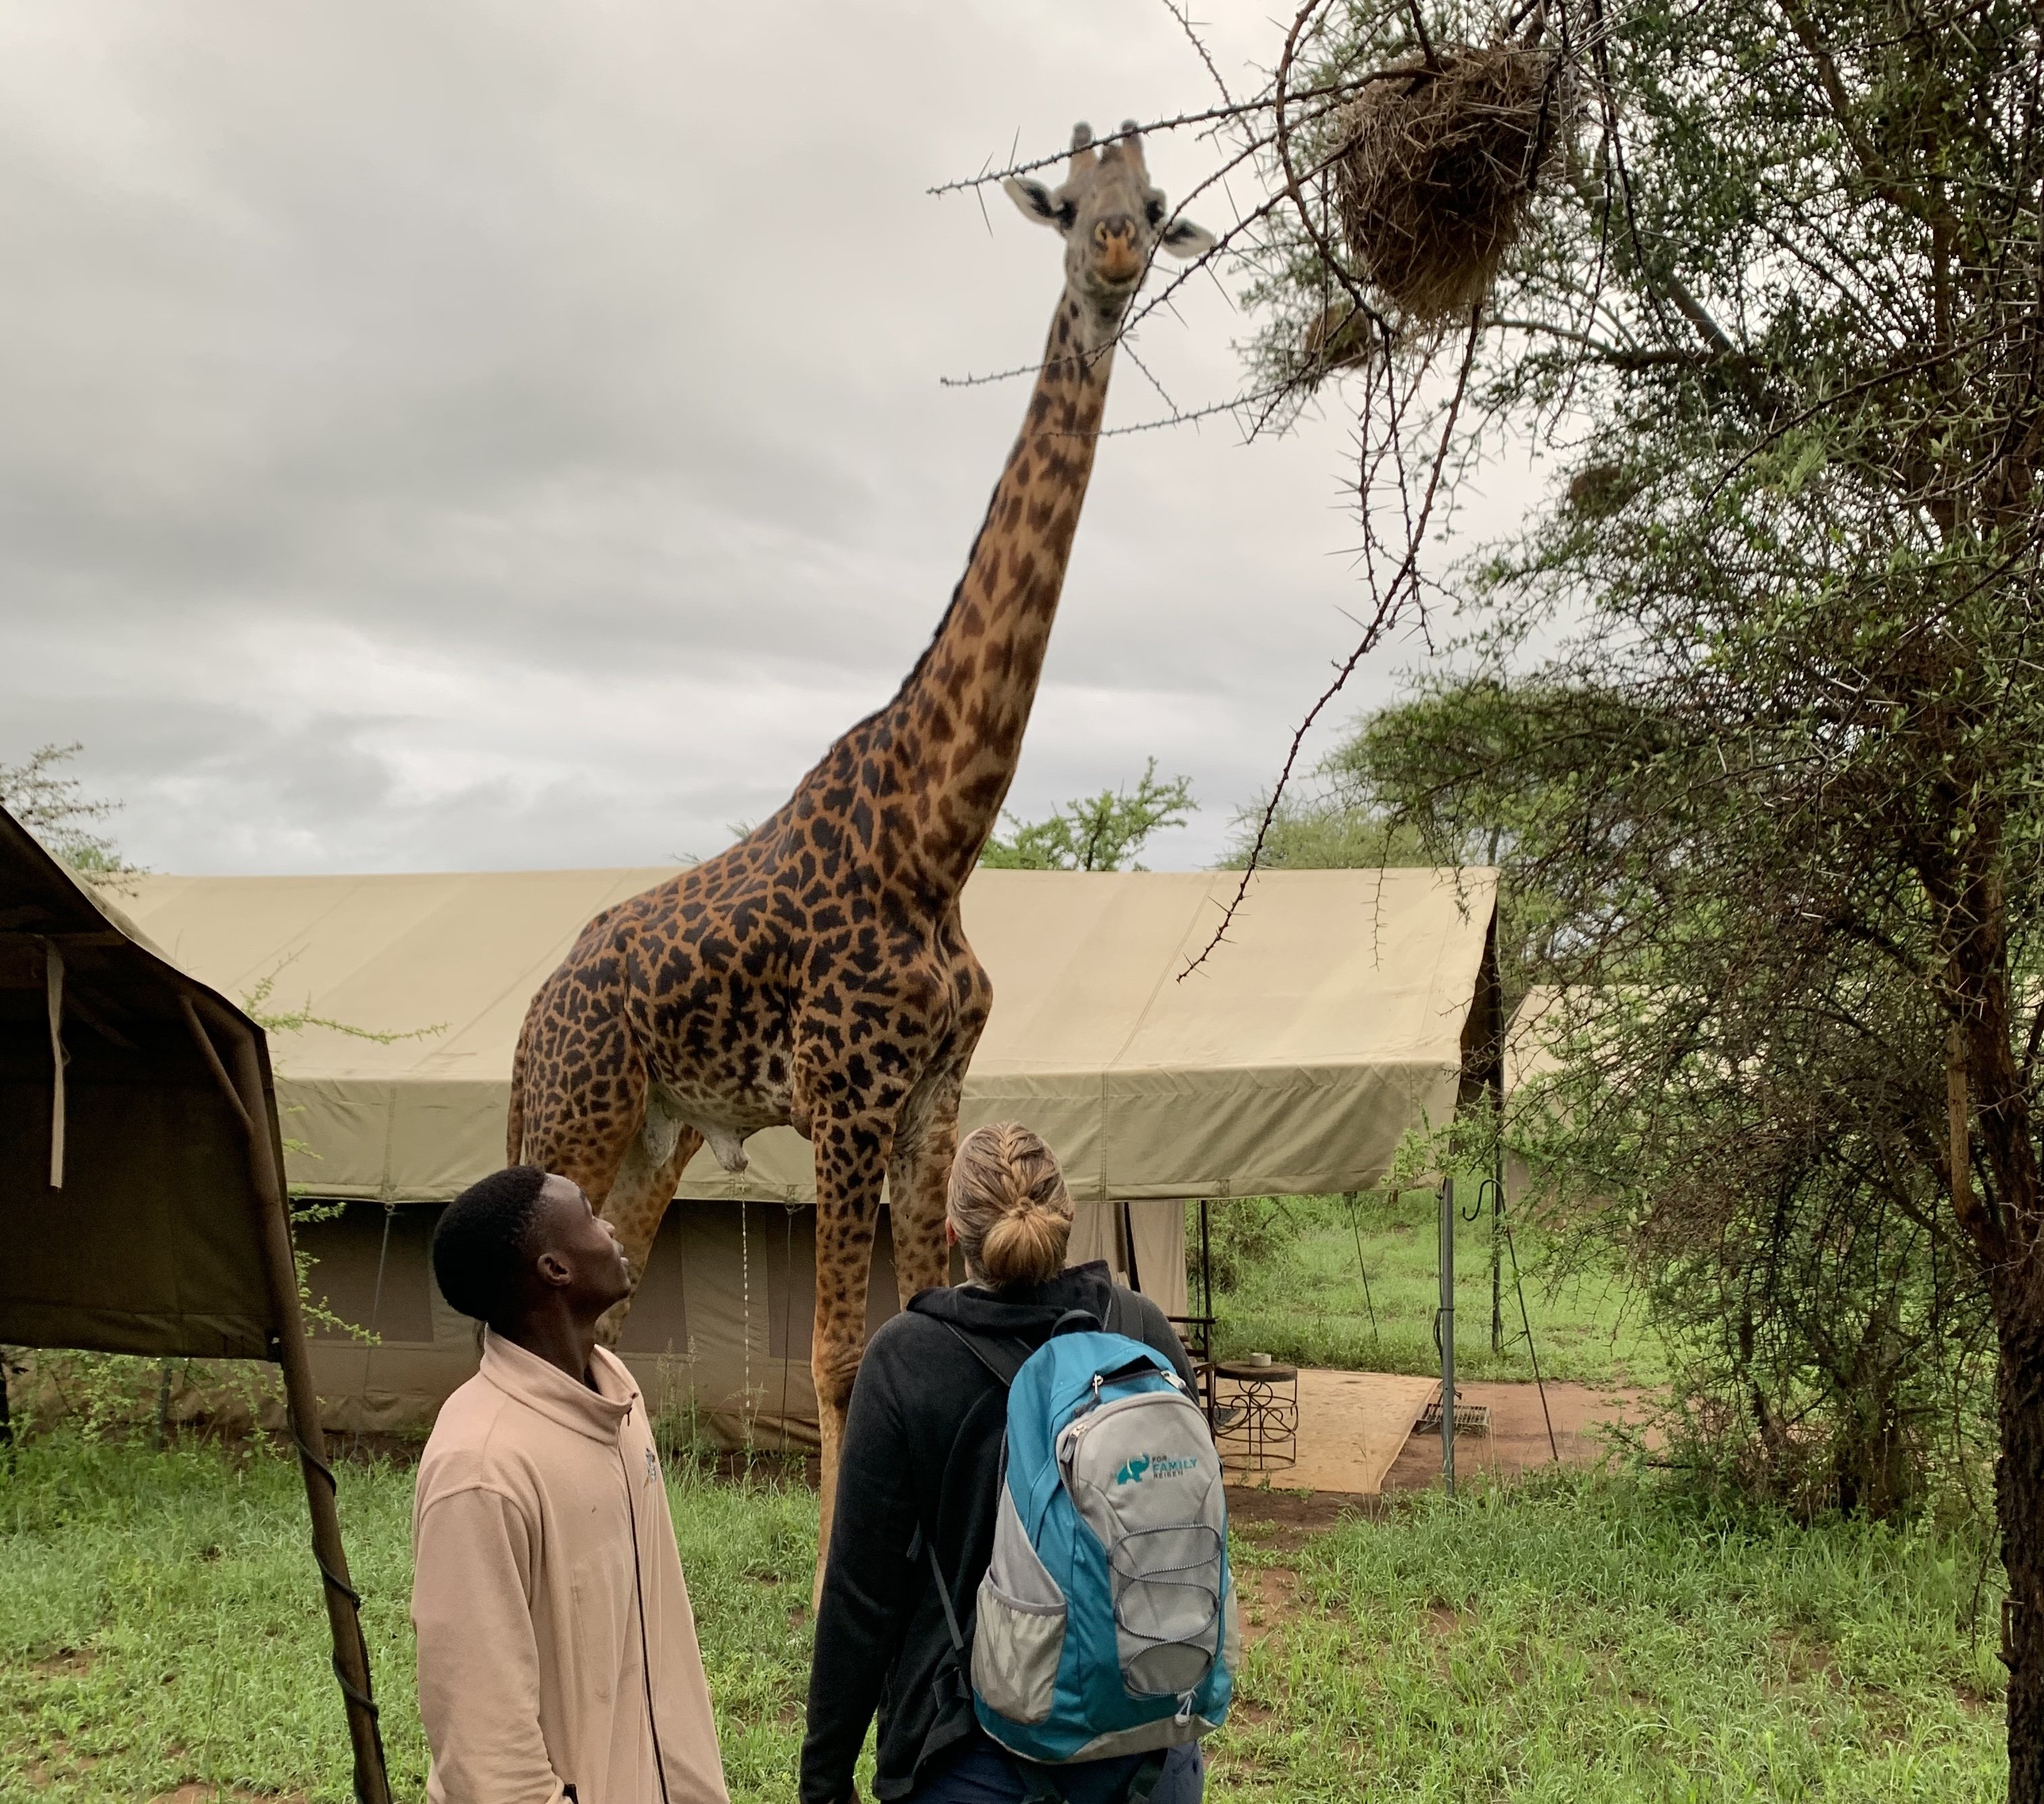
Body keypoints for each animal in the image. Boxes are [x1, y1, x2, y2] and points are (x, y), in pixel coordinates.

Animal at [511, 123, 1210, 1569]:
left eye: (1157, 199)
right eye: (1069, 201)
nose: (1118, 254)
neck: (933, 838)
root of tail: (539, 1001)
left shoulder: (931, 1096)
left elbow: (921, 1315)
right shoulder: (842, 1098)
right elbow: (837, 1352)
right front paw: (837, 1560)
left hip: (656, 1129)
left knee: (602, 1318)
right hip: (575, 1109)